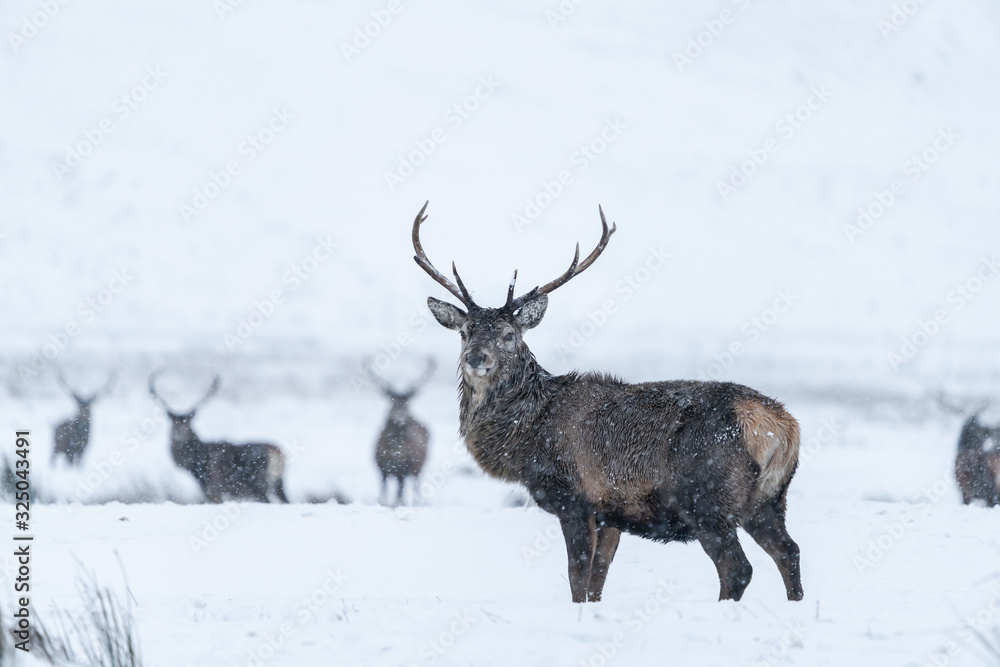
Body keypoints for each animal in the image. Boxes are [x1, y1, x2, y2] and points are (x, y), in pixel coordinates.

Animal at [148, 374, 290, 504]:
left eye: (189, 423)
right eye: (172, 422)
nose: (178, 433)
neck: (194, 465)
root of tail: (278, 453)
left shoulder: (212, 488)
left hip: (256, 481)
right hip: (279, 484)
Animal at [366, 358, 432, 504]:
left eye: (407, 403)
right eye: (393, 403)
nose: (401, 421)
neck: (395, 453)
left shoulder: (405, 468)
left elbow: (399, 492)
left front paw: (398, 504)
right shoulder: (381, 467)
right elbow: (384, 489)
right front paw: (382, 502)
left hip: (419, 467)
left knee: (414, 484)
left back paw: (416, 502)